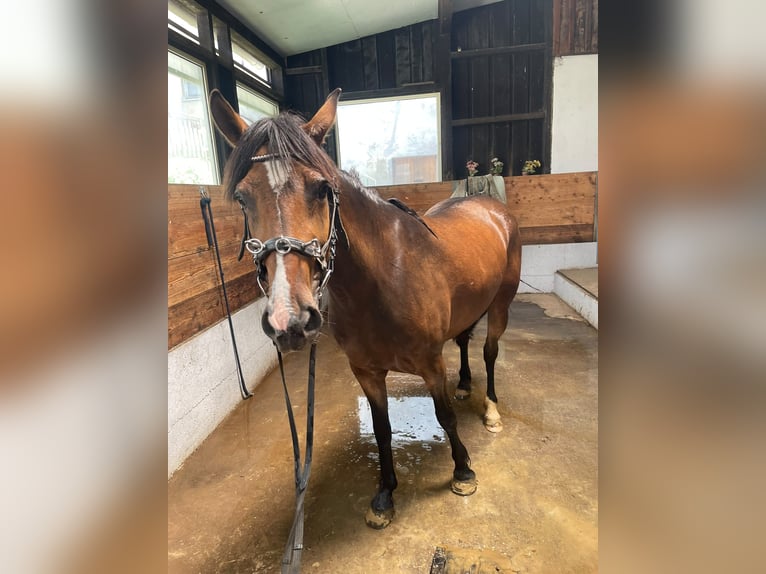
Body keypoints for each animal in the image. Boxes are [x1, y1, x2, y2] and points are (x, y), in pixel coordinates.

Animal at [209, 88, 521, 529]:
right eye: (242, 197)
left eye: (321, 188)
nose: (291, 319)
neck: (385, 278)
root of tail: (491, 207)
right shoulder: (367, 372)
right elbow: (381, 428)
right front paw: (385, 494)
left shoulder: (431, 364)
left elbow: (444, 417)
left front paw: (463, 471)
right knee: (463, 341)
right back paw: (464, 385)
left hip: (501, 304)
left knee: (490, 351)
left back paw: (491, 410)